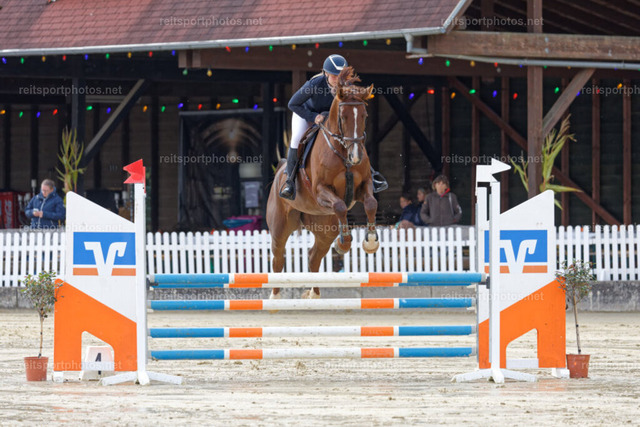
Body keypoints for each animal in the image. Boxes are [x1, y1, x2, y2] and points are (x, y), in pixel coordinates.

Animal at [266, 66, 380, 299]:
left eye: (364, 115)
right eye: (343, 117)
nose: (356, 157)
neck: (342, 152)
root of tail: (280, 170)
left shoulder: (363, 186)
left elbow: (371, 204)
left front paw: (371, 242)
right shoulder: (321, 191)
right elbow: (340, 205)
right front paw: (344, 244)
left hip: (325, 227)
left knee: (313, 256)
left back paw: (314, 294)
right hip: (280, 226)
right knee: (278, 257)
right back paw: (275, 297)